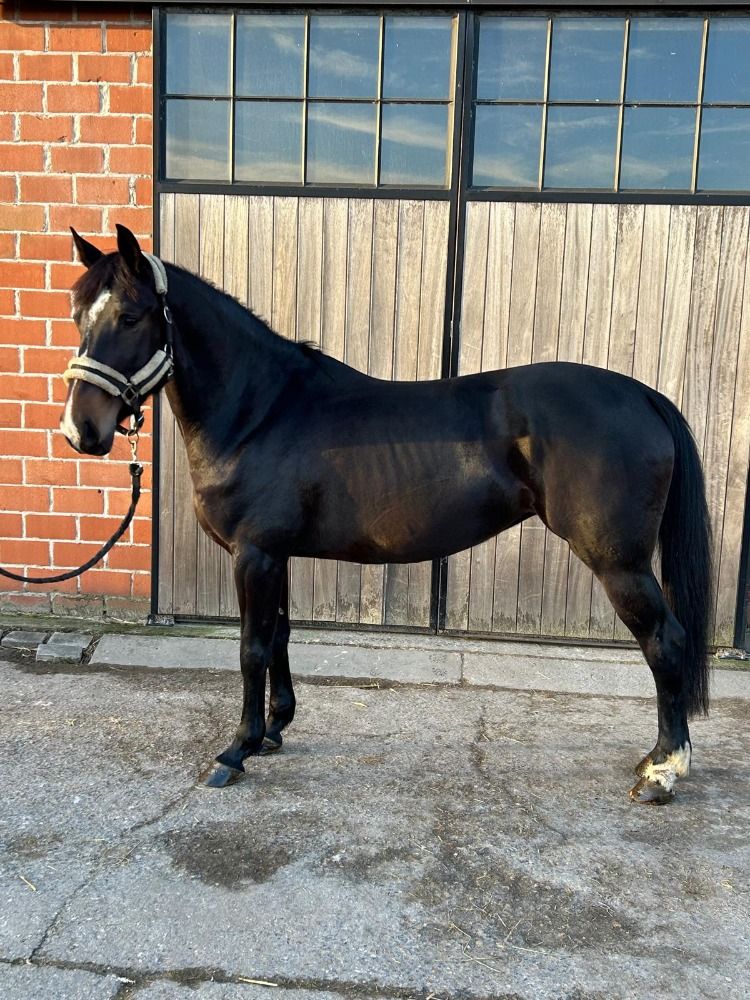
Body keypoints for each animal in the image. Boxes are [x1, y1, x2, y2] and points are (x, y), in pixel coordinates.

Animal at [61, 225, 712, 805]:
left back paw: (663, 772)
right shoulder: (277, 555)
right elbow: (279, 637)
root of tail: (644, 395)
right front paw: (274, 730)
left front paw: (235, 751)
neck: (262, 411)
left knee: (665, 641)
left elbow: (250, 648)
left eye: (130, 316)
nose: (80, 430)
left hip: (619, 564)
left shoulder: (254, 555)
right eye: (76, 314)